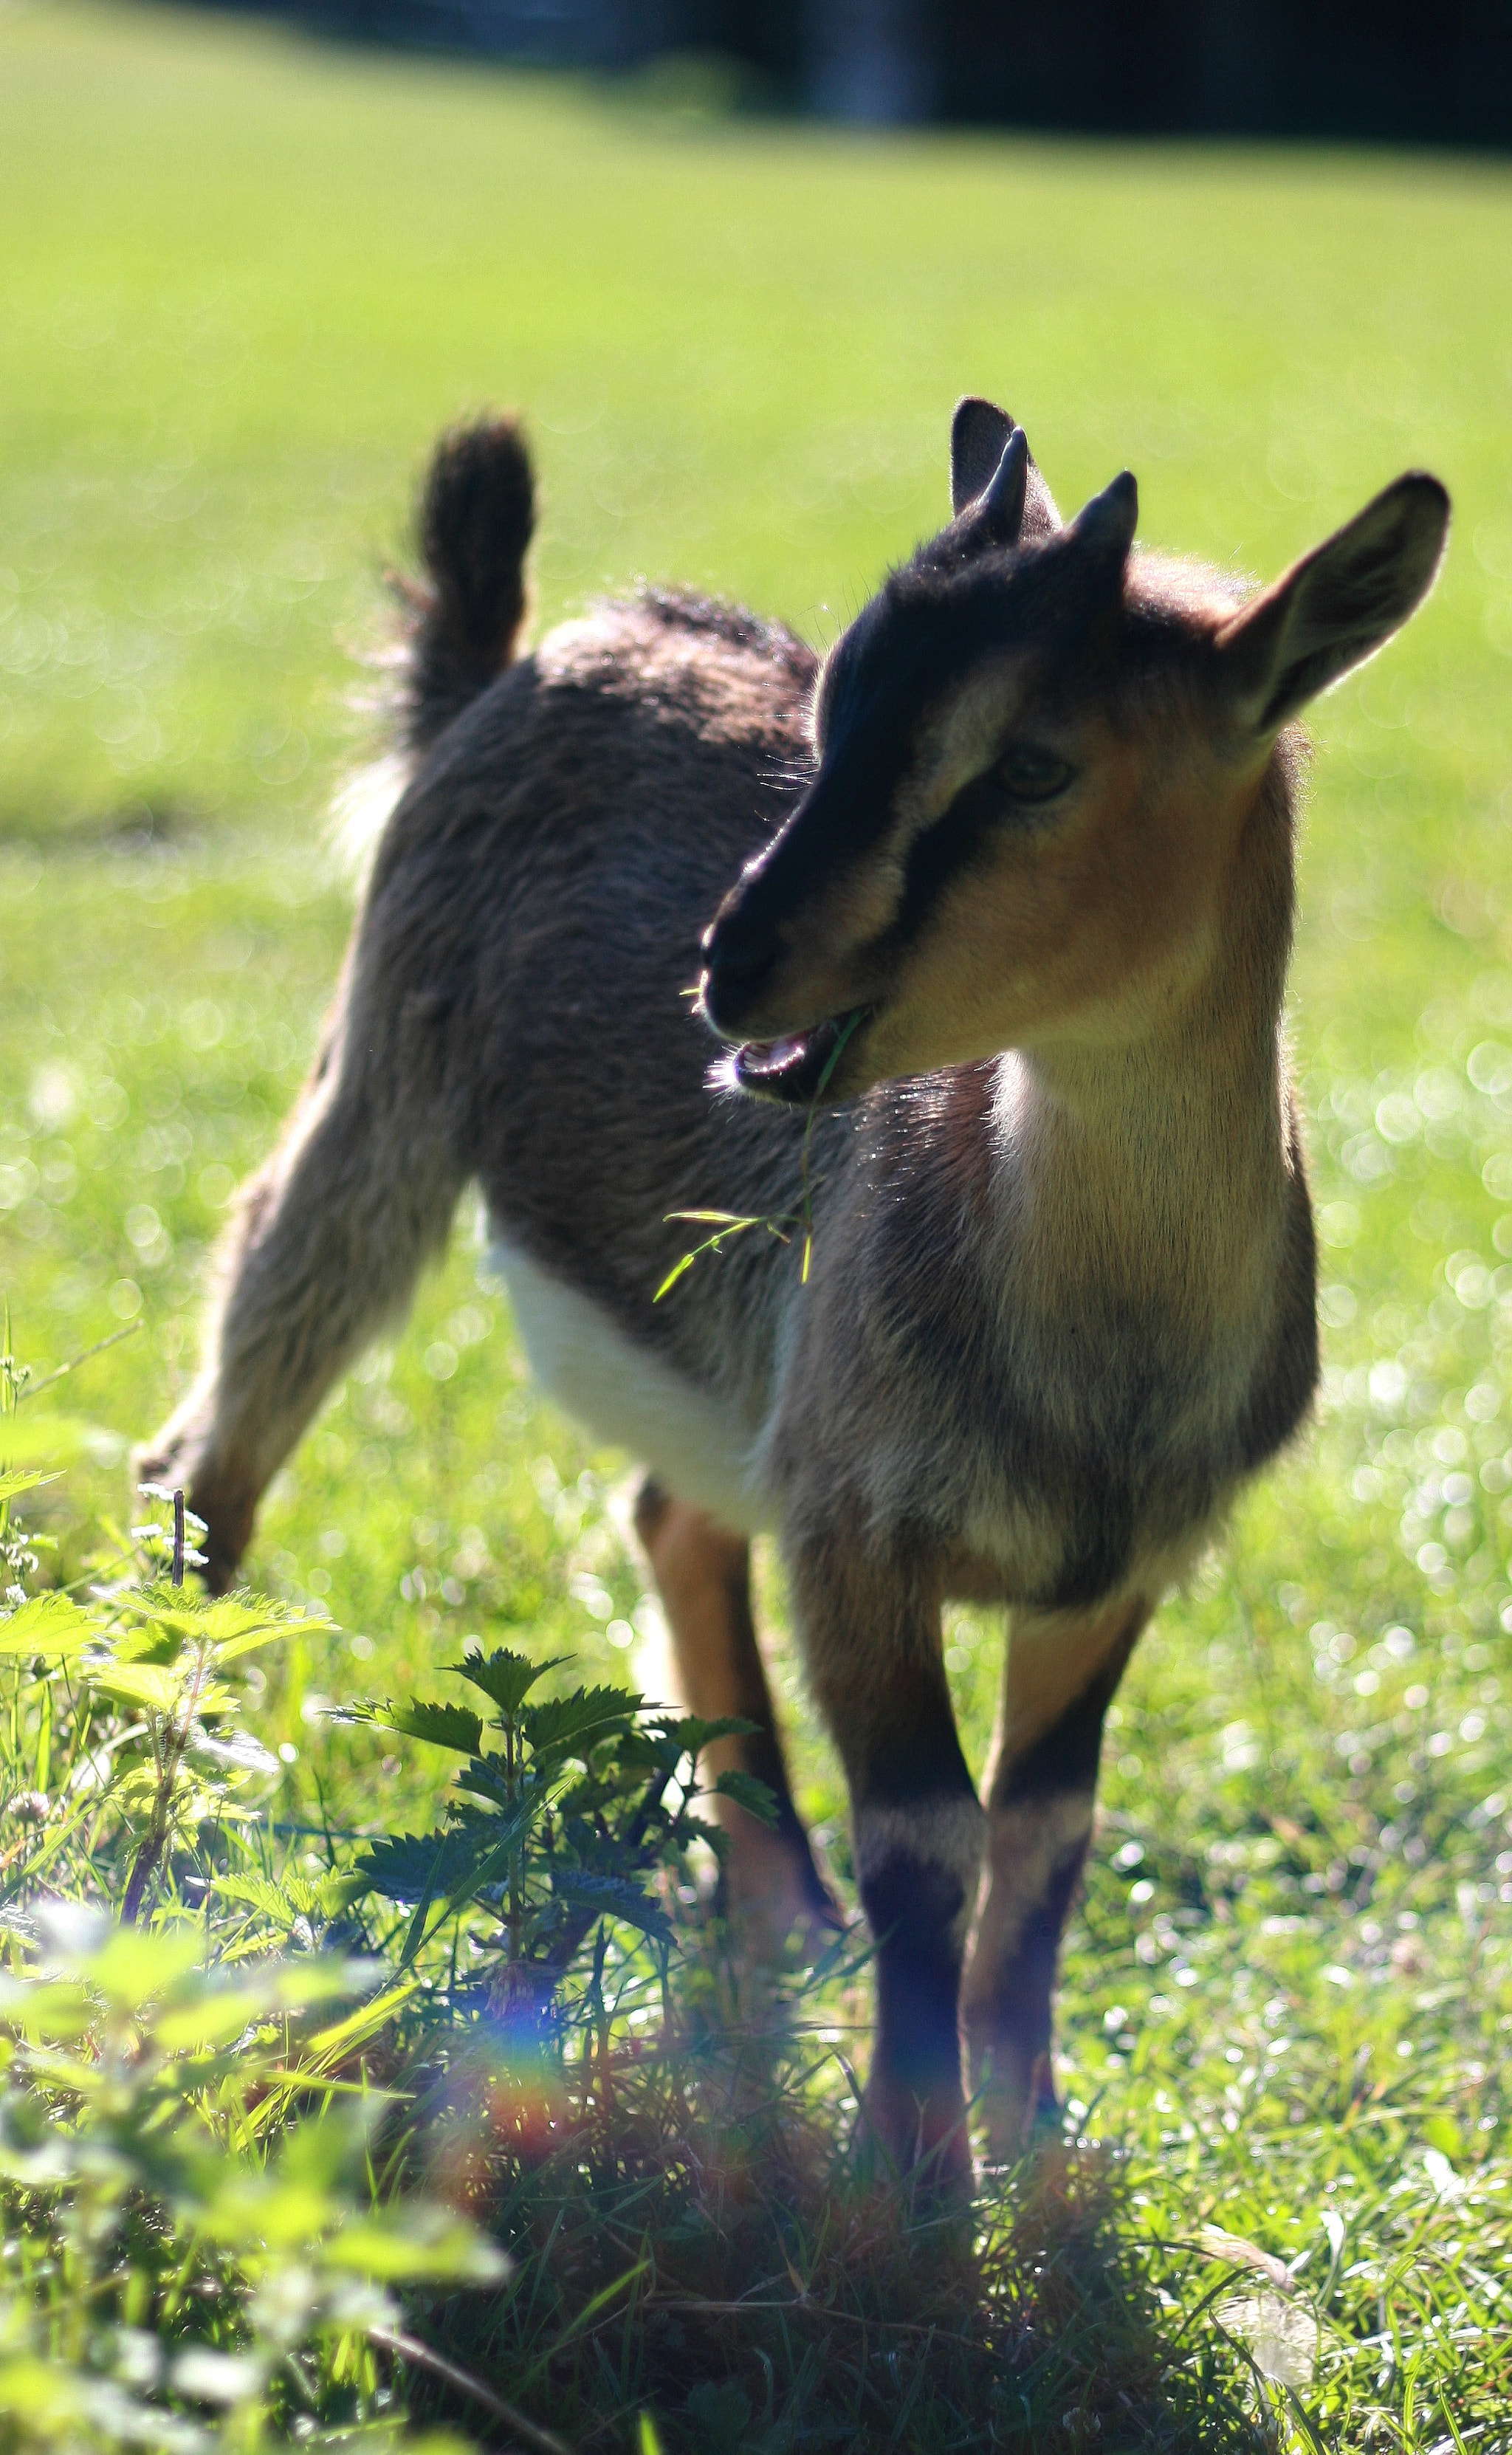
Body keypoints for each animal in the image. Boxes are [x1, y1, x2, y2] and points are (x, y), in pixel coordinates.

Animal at [141, 401, 1448, 2182]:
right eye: (831, 719)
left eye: (1032, 764)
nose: (729, 965)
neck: (1098, 1361)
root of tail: (517, 661)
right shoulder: (856, 1529)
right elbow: (927, 1835)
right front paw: (918, 2182)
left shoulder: (1114, 1569)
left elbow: (1045, 1837)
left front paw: (1036, 2144)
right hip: (381, 1092)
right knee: (211, 1457)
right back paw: (154, 1849)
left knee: (668, 1516)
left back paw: (779, 1909)